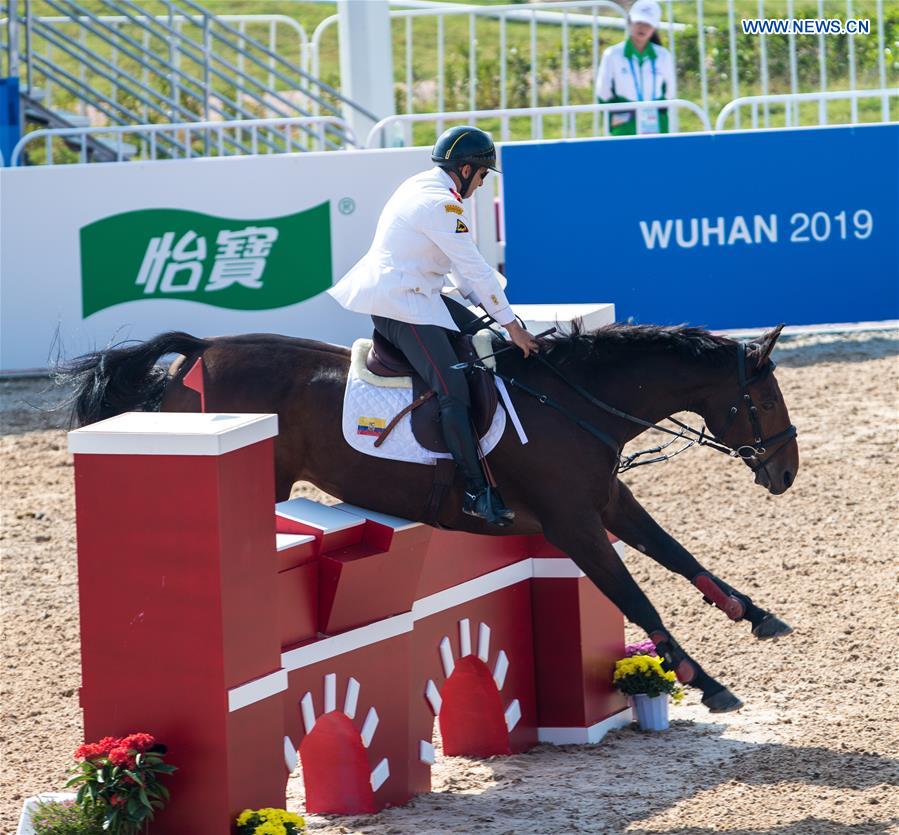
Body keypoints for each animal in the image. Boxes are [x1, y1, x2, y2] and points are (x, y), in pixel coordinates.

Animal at [59, 320, 800, 712]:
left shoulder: (608, 502)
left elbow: (679, 555)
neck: (574, 401)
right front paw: (707, 682)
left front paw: (756, 614)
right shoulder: (573, 524)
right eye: (763, 400)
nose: (786, 472)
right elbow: (635, 595)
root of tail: (202, 347)